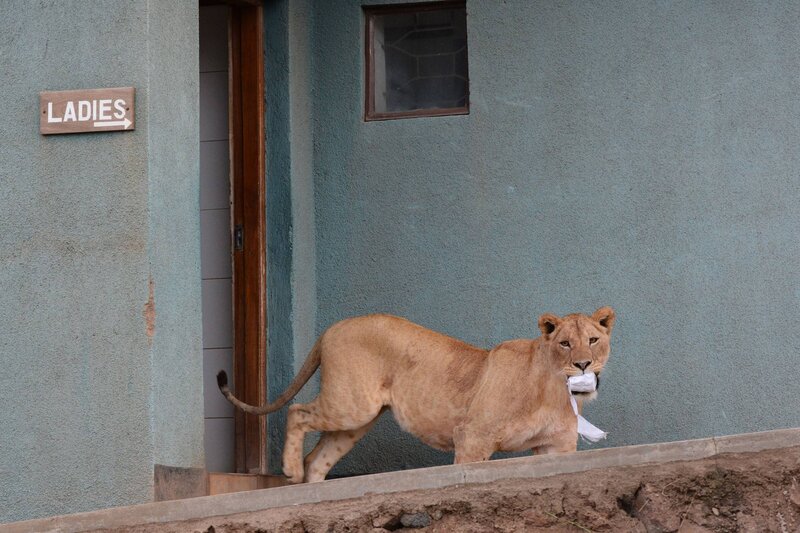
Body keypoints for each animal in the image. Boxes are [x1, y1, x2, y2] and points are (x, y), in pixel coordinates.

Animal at [217, 307, 615, 483]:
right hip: (351, 405)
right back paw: (289, 469)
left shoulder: (556, 447)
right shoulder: (473, 436)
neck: (554, 389)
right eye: (565, 343)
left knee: (319, 459)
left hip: (355, 420)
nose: (582, 364)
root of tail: (333, 326)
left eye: (593, 339)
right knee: (297, 412)